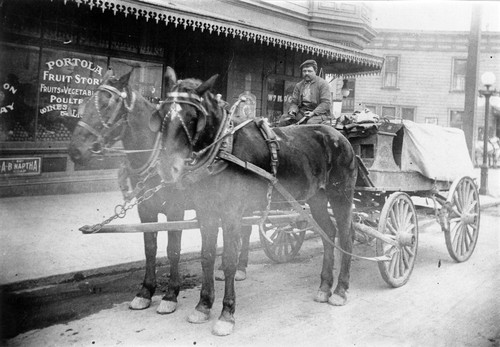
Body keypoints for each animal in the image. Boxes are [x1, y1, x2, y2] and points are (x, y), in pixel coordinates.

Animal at [68, 70, 252, 316]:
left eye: (107, 105)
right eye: (85, 103)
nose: (75, 150)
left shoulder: (175, 210)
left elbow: (172, 249)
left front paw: (170, 295)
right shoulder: (145, 209)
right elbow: (150, 247)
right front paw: (145, 291)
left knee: (246, 230)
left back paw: (240, 268)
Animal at [150, 69, 358, 336]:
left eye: (193, 115)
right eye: (162, 111)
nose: (167, 167)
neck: (223, 148)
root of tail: (340, 136)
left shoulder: (231, 215)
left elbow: (229, 260)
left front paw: (226, 314)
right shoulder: (207, 212)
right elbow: (207, 256)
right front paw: (203, 306)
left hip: (341, 195)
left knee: (345, 237)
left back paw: (340, 290)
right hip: (317, 199)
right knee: (328, 234)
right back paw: (324, 287)